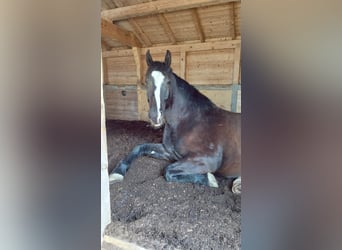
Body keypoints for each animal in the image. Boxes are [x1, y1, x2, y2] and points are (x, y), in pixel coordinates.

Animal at [109, 48, 240, 193]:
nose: (155, 116)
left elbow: (168, 170)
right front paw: (117, 173)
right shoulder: (169, 152)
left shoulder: (208, 159)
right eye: (147, 80)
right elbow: (139, 147)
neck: (189, 121)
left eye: (168, 82)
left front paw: (210, 179)